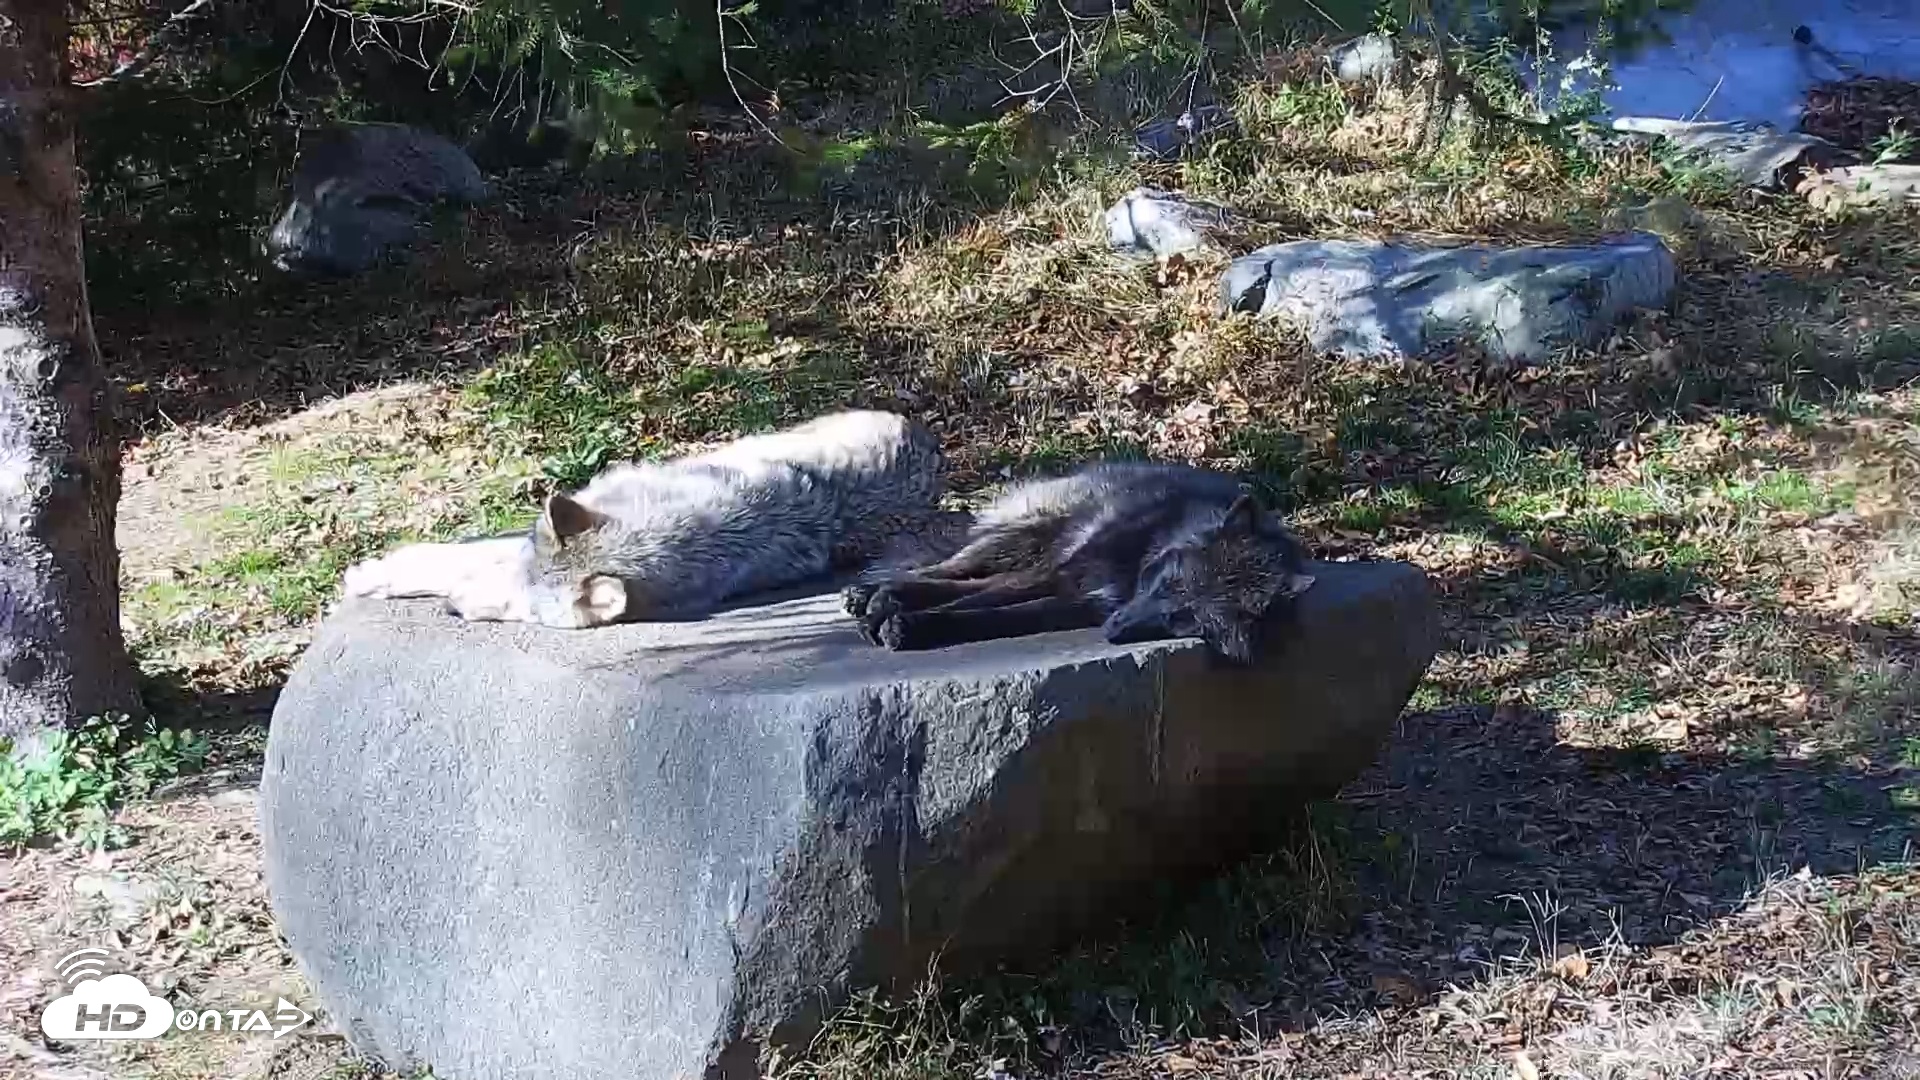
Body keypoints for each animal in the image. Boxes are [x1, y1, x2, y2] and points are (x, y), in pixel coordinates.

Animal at [842, 461, 1316, 664]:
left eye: (1186, 619)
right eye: (1168, 584)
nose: (1114, 629)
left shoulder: (1073, 599)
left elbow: (988, 613)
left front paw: (909, 622)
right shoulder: (1067, 575)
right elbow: (972, 600)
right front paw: (893, 615)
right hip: (1029, 541)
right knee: (949, 570)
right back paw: (872, 593)